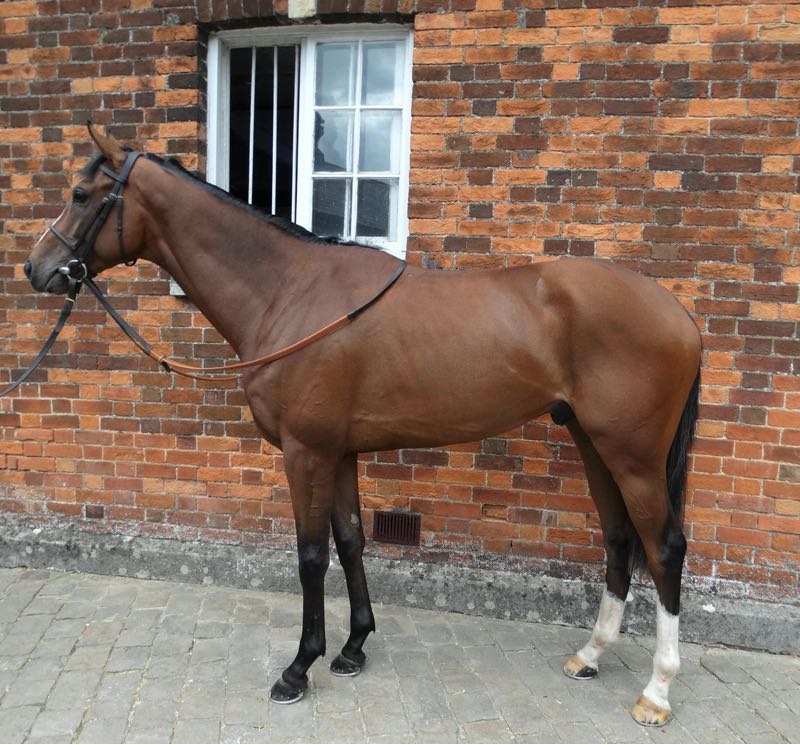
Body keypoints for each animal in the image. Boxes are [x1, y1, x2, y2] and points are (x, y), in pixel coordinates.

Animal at [24, 123, 702, 726]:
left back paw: (658, 692)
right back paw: (591, 655)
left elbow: (310, 555)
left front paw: (299, 667)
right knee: (618, 540)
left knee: (664, 547)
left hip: (633, 454)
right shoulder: (340, 452)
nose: (37, 268)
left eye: (81, 195)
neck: (289, 292)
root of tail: (679, 313)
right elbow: (350, 540)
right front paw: (353, 648)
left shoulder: (306, 452)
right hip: (592, 442)